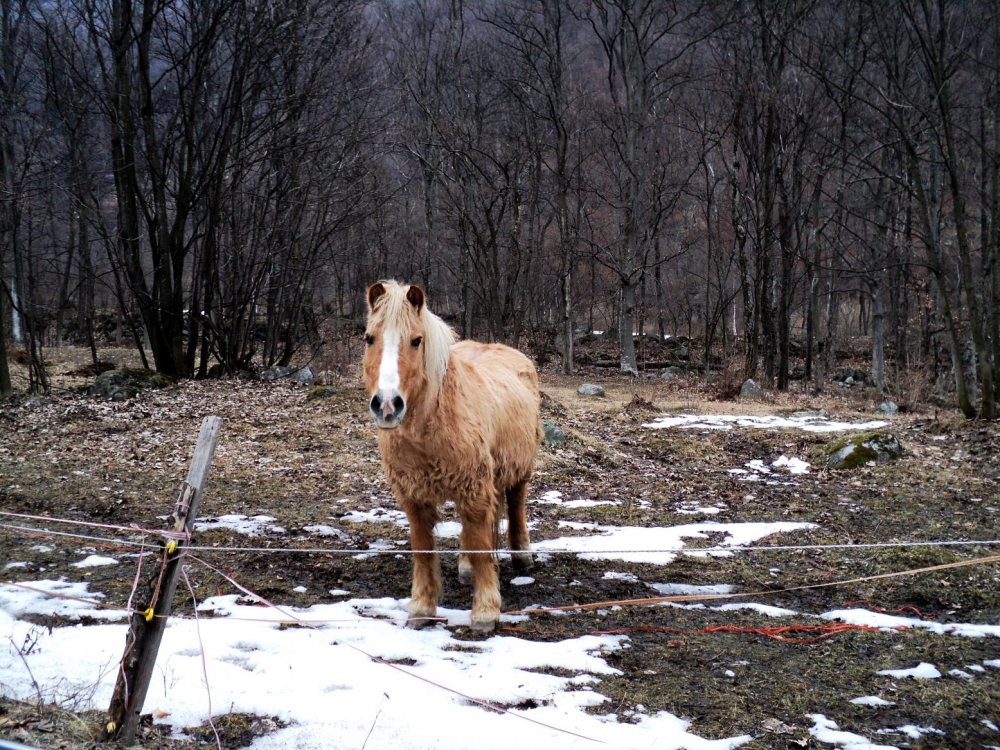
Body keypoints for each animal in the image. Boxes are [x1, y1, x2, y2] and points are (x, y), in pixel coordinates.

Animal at [364, 282, 544, 636]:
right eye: (369, 338)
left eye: (416, 340)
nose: (387, 404)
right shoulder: (414, 497)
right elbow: (424, 548)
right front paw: (422, 608)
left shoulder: (474, 489)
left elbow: (479, 545)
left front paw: (486, 611)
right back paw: (465, 567)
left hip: (518, 471)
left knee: (515, 507)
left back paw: (522, 556)